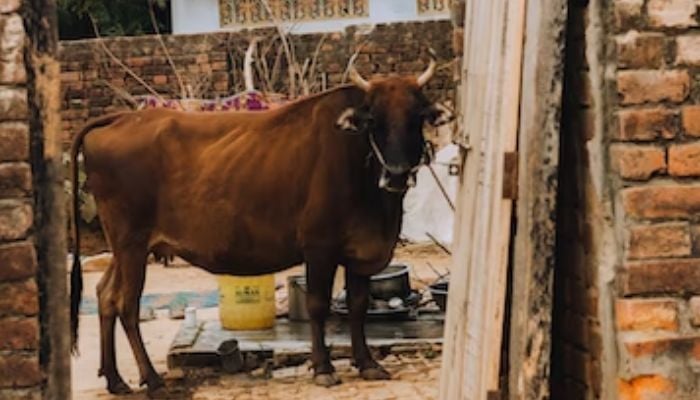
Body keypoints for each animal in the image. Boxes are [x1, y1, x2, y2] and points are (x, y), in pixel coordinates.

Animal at [71, 52, 454, 394]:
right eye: (374, 119)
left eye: (418, 116)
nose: (397, 173)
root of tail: (119, 119)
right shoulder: (319, 246)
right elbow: (318, 305)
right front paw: (323, 368)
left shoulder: (360, 251)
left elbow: (358, 306)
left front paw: (367, 363)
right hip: (131, 243)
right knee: (127, 306)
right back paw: (150, 378)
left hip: (126, 247)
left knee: (105, 295)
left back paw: (115, 379)